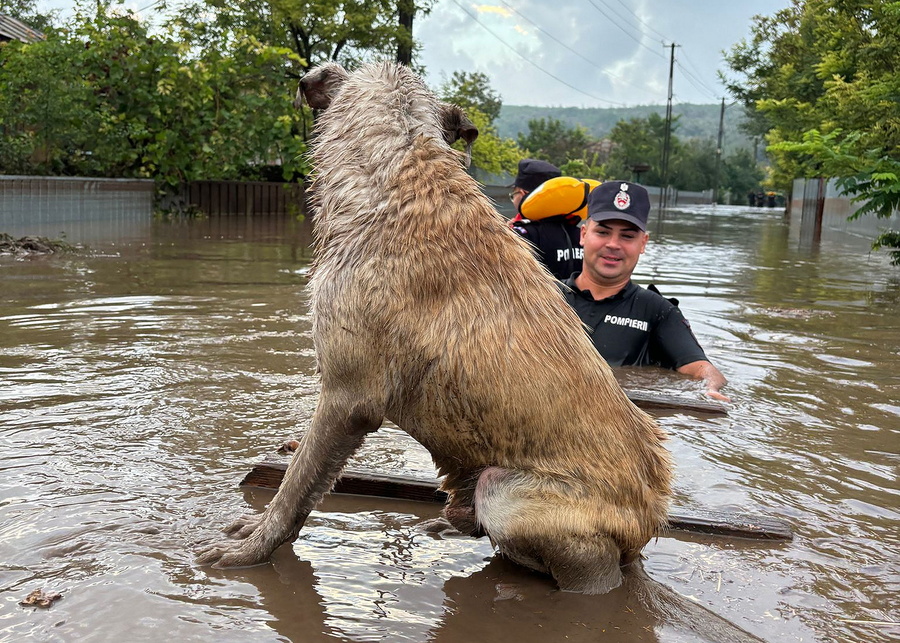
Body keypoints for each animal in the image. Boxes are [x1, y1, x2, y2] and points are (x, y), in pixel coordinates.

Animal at [200, 60, 672, 592]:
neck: (399, 169)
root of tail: (651, 519)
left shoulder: (347, 398)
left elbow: (295, 487)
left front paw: (252, 550)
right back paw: (445, 526)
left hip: (508, 495)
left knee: (588, 567)